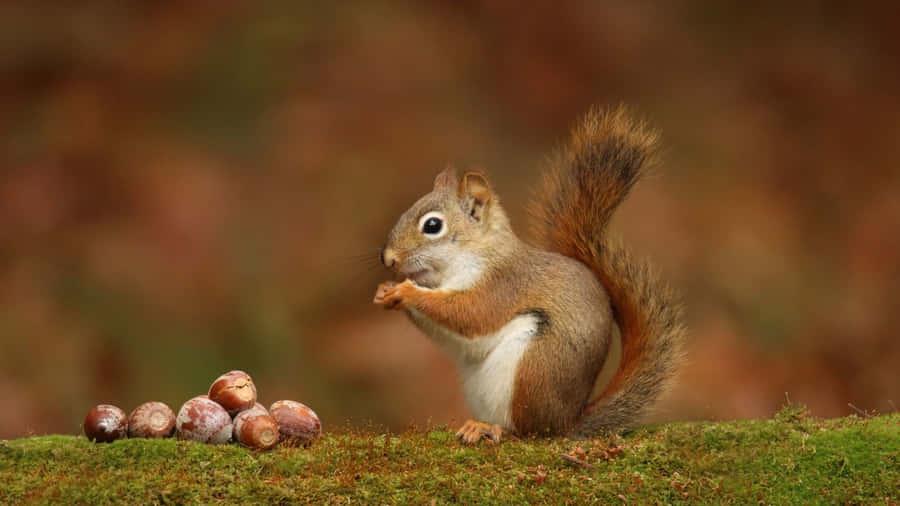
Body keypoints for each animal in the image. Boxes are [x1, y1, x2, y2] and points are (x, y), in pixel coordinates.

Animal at [373, 106, 685, 444]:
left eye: (432, 226)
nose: (388, 258)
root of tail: (567, 423)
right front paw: (385, 291)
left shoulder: (501, 285)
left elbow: (469, 314)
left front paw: (406, 291)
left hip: (533, 368)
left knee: (529, 432)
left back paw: (493, 429)